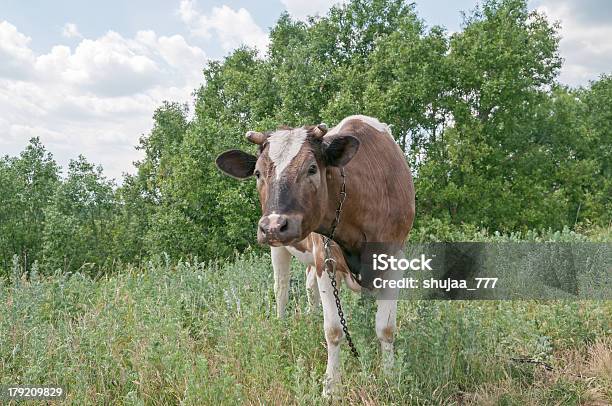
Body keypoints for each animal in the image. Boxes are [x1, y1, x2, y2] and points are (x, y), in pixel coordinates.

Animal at [216, 115, 416, 396]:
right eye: (257, 173)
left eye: (311, 169)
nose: (274, 225)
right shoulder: (325, 260)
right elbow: (333, 330)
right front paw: (331, 386)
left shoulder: (394, 258)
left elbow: (385, 327)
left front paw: (390, 378)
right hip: (280, 248)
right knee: (281, 289)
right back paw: (282, 329)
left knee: (309, 285)